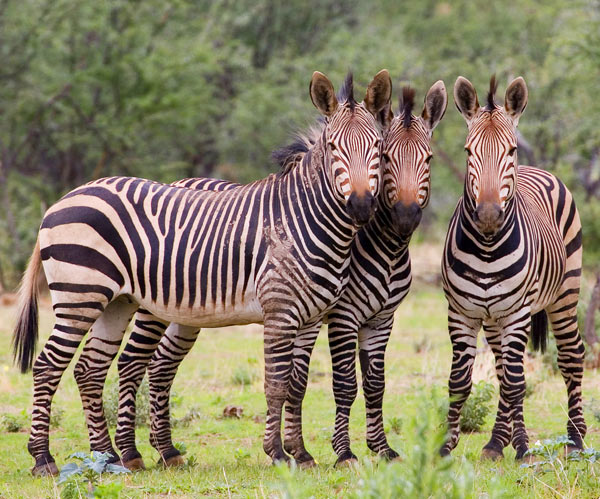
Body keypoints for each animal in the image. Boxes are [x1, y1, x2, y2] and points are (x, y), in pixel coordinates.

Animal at [11, 70, 394, 476]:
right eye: (334, 147)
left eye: (377, 147)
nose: (361, 205)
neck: (304, 218)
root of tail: (62, 200)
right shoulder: (279, 313)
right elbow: (276, 384)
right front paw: (277, 454)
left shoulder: (310, 318)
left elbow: (297, 384)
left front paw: (302, 454)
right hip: (79, 295)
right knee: (48, 366)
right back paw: (43, 459)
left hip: (117, 301)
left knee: (90, 369)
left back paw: (109, 457)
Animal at [104, 79, 446, 468]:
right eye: (387, 157)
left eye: (429, 159)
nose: (405, 217)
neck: (385, 249)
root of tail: (179, 180)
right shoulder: (341, 316)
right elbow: (343, 383)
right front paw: (342, 452)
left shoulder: (381, 318)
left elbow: (372, 384)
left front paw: (381, 449)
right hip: (153, 306)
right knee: (133, 362)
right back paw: (133, 451)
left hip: (187, 313)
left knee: (162, 364)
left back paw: (166, 449)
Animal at [440, 75, 584, 460]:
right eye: (468, 152)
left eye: (511, 150)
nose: (489, 215)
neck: (488, 247)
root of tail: (536, 169)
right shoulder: (461, 312)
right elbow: (461, 381)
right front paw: (444, 446)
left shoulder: (518, 312)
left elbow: (518, 381)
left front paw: (522, 448)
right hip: (494, 319)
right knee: (504, 367)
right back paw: (494, 442)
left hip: (565, 296)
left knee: (571, 357)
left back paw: (577, 439)